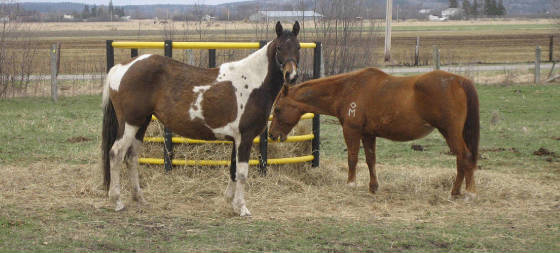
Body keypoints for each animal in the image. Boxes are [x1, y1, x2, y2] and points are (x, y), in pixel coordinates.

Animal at [100, 21, 302, 215]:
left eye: (298, 47)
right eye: (279, 48)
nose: (291, 76)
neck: (253, 83)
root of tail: (121, 67)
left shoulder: (236, 139)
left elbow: (233, 170)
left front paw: (230, 203)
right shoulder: (245, 138)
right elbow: (242, 174)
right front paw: (242, 208)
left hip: (141, 123)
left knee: (131, 157)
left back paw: (139, 198)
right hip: (130, 123)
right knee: (116, 154)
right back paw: (117, 201)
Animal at [270, 67, 480, 200]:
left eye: (278, 109)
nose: (272, 135)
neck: (347, 88)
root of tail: (459, 81)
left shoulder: (351, 131)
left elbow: (353, 158)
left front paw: (351, 184)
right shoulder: (368, 134)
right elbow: (370, 159)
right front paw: (373, 187)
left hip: (450, 132)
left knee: (465, 156)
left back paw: (467, 193)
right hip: (450, 133)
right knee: (461, 159)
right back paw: (457, 191)